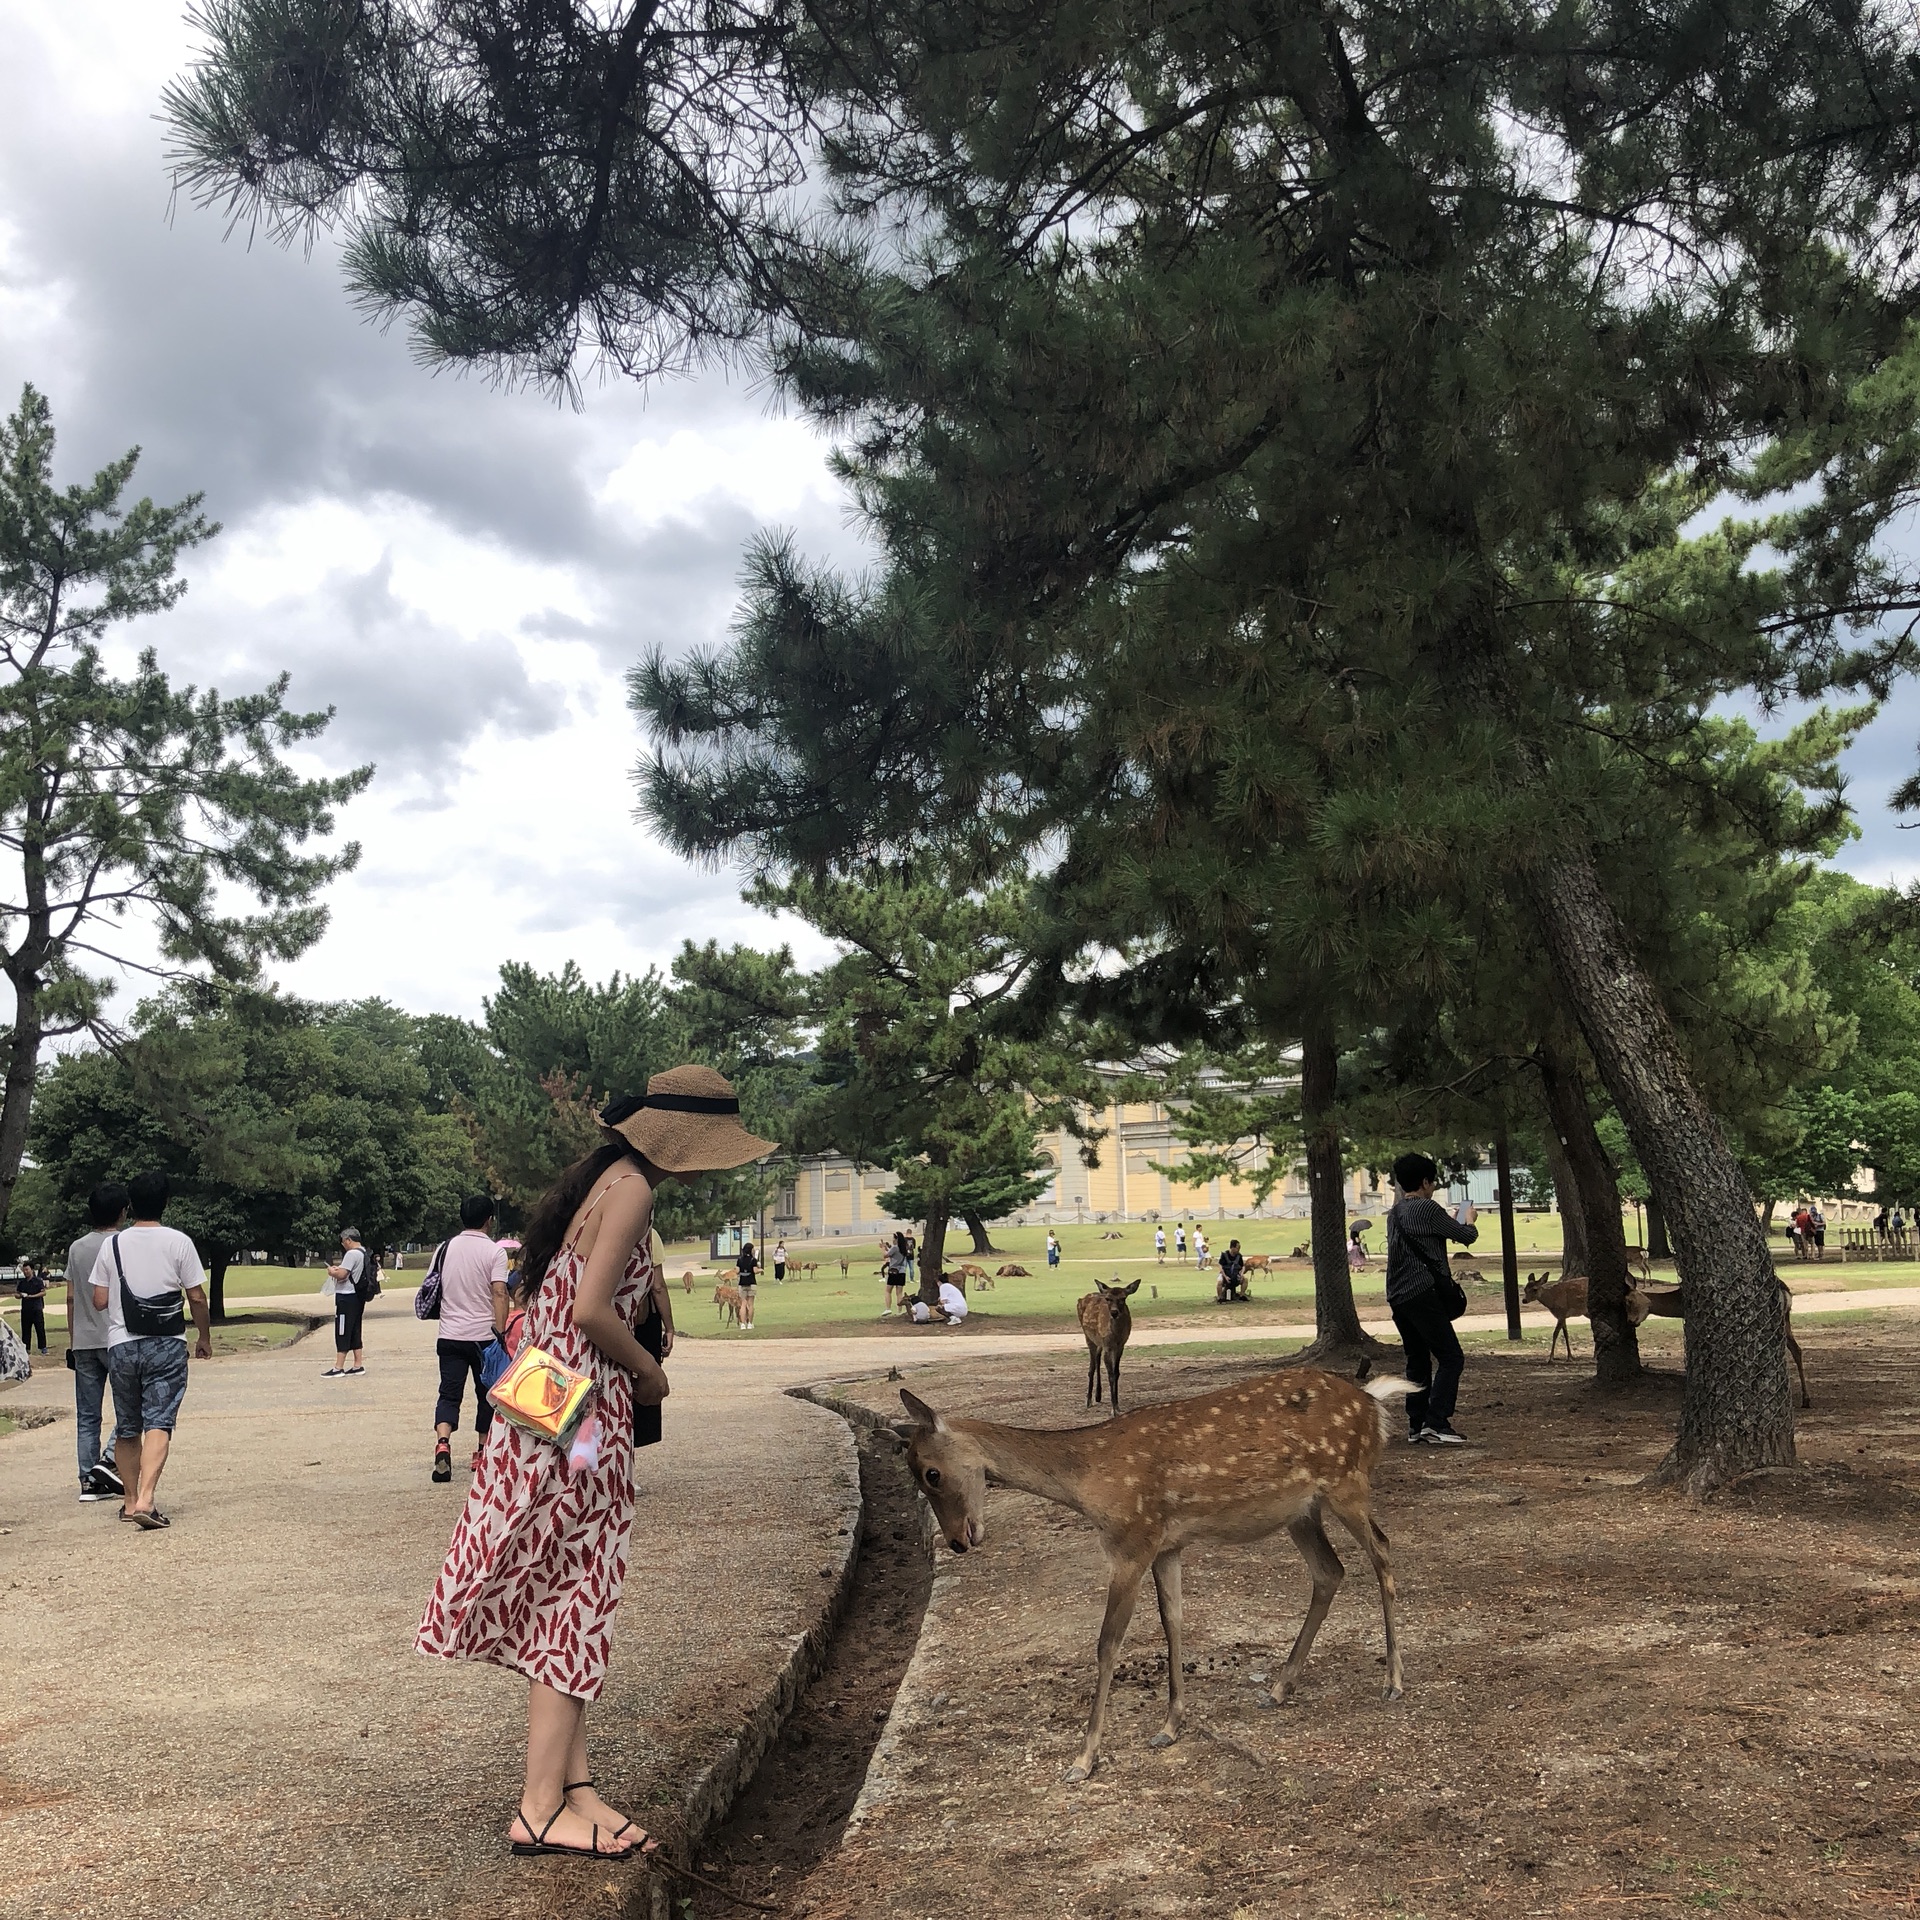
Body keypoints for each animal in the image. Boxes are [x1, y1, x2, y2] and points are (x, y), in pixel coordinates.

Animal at [894, 1367, 1413, 1781]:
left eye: (930, 1473)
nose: (957, 1542)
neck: (1088, 1482)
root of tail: (1372, 1404)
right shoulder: (1168, 1545)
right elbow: (1172, 1623)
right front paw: (1169, 1726)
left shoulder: (1132, 1540)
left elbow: (1108, 1643)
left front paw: (1083, 1760)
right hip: (1301, 1511)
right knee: (1330, 1570)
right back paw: (1280, 1688)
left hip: (1347, 1482)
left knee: (1383, 1550)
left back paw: (1393, 1681)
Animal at [1075, 1274, 1128, 1413]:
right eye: (1108, 1299)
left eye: (1123, 1298)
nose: (1114, 1312)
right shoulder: (1107, 1344)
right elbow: (1110, 1373)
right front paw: (1113, 1408)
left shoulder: (1120, 1345)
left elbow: (1116, 1372)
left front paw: (1117, 1405)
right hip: (1088, 1337)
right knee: (1092, 1365)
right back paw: (1089, 1400)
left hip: (1098, 1341)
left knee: (1097, 1359)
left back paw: (1097, 1395)